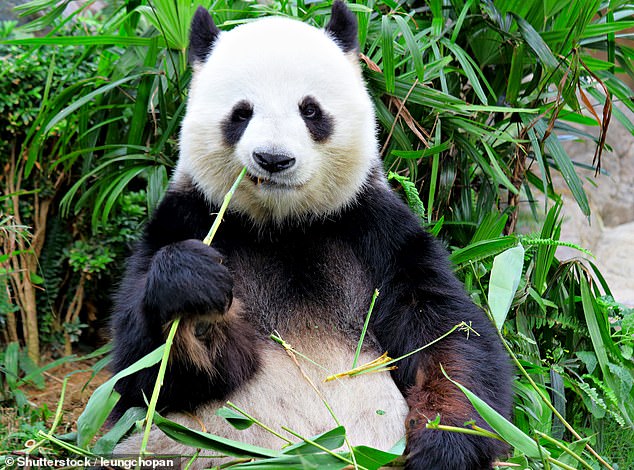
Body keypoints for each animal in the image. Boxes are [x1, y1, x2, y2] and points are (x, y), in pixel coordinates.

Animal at [111, 1, 512, 468]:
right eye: (241, 113)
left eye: (310, 110)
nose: (273, 159)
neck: (283, 226)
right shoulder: (186, 217)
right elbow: (146, 375)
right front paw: (193, 293)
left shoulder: (375, 230)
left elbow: (448, 337)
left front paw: (445, 444)